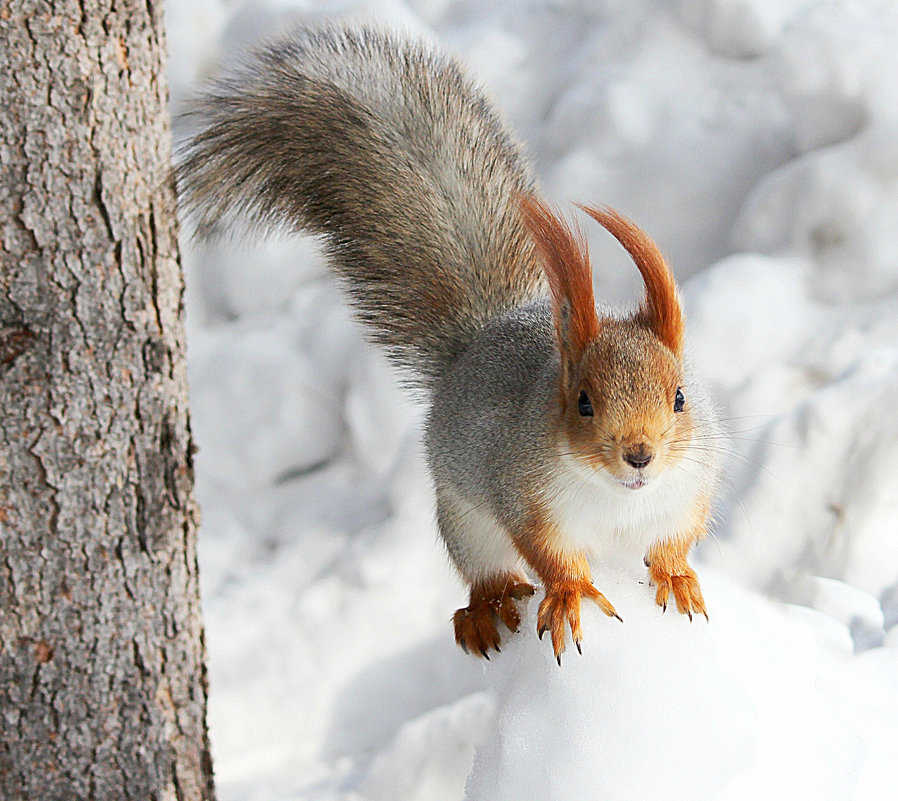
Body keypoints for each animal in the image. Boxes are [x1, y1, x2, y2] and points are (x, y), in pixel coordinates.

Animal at [175, 25, 720, 664]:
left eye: (680, 398)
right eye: (584, 402)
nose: (639, 454)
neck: (622, 499)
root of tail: (475, 344)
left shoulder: (689, 490)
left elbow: (677, 541)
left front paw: (676, 577)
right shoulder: (526, 497)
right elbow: (550, 557)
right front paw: (570, 594)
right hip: (465, 524)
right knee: (488, 574)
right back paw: (486, 610)